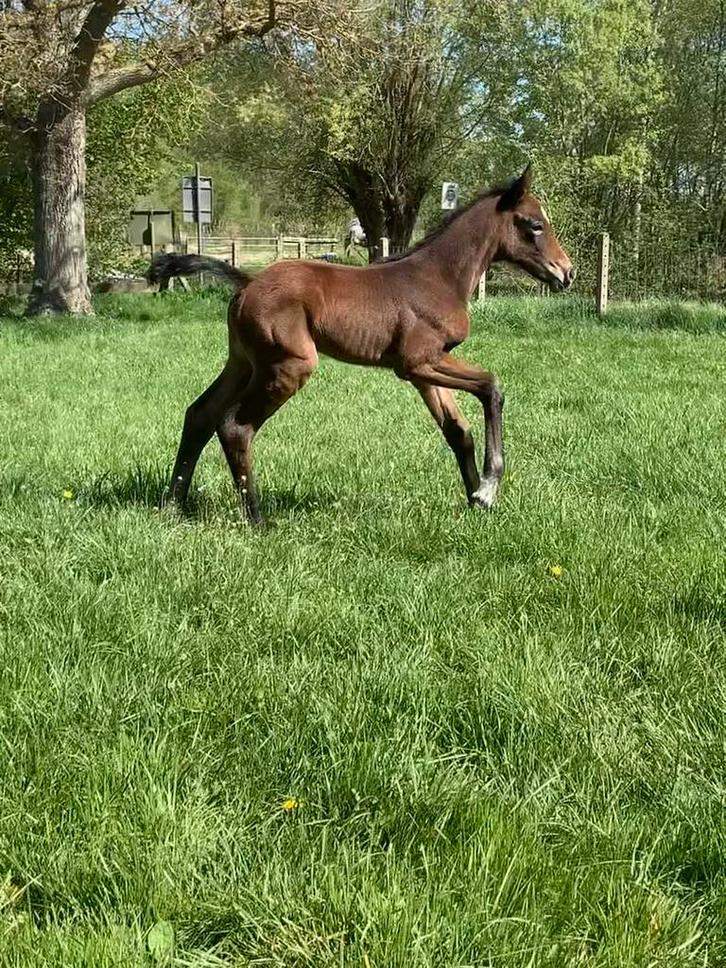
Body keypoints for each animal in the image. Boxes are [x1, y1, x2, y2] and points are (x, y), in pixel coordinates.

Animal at [148, 167, 574, 525]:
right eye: (536, 225)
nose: (566, 272)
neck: (438, 277)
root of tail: (246, 282)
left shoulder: (427, 368)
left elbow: (458, 430)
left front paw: (476, 502)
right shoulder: (417, 363)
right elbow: (492, 386)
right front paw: (487, 488)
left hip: (243, 362)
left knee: (200, 414)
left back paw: (172, 503)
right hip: (289, 365)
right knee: (235, 426)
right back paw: (256, 518)